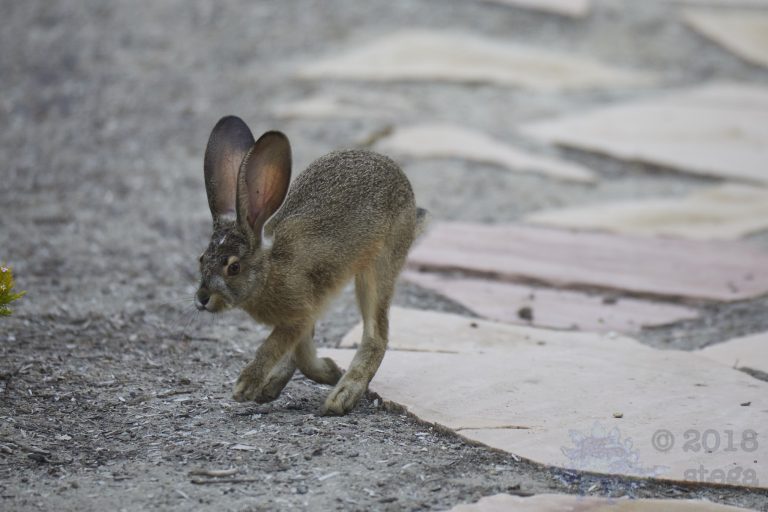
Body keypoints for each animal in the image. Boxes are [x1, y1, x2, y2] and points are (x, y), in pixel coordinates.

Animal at [195, 115, 427, 415]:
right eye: (202, 259)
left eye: (233, 267)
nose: (202, 299)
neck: (269, 270)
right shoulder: (303, 317)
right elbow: (300, 351)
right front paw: (324, 370)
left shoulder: (300, 312)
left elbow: (275, 347)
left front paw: (245, 386)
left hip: (379, 267)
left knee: (377, 335)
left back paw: (341, 397)